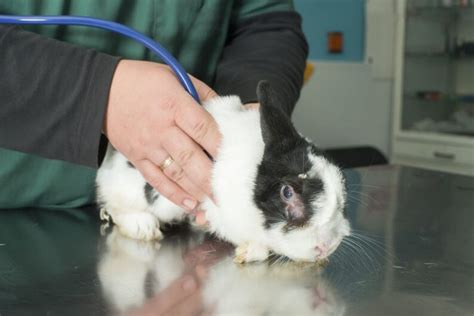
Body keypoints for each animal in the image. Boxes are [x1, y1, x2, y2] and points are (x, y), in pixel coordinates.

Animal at [96, 80, 350, 262]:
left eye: (341, 187)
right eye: (287, 192)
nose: (327, 248)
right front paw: (248, 252)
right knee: (114, 205)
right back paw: (143, 227)